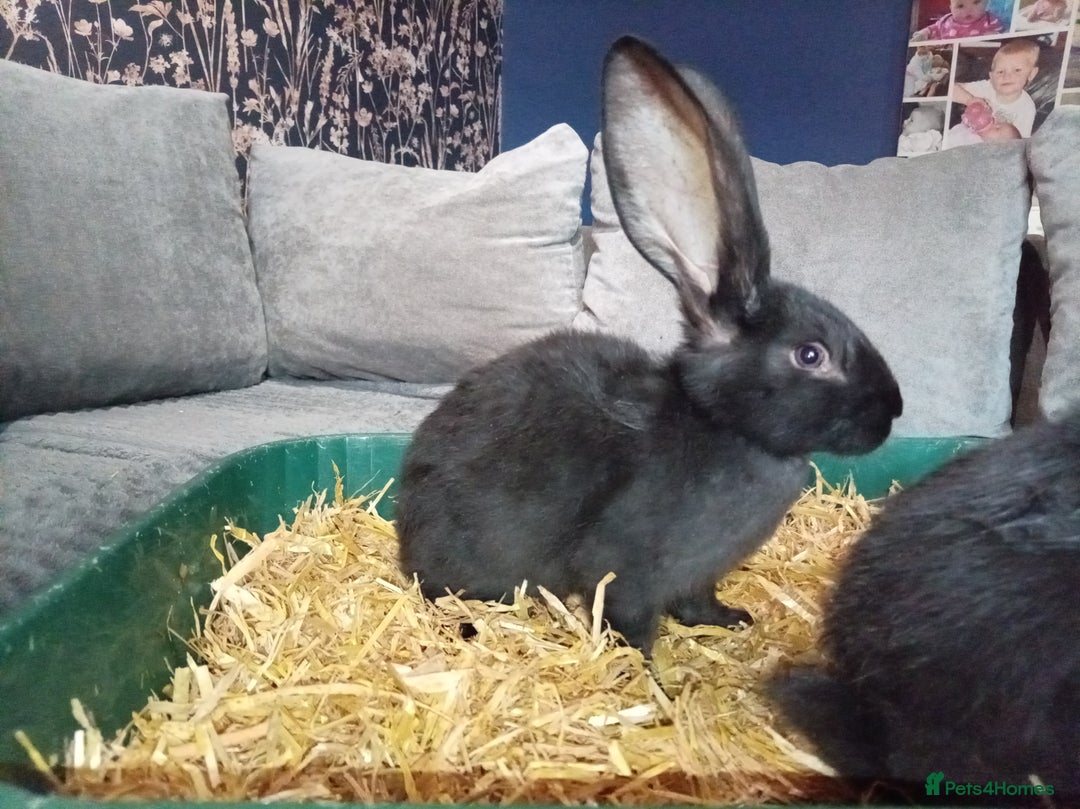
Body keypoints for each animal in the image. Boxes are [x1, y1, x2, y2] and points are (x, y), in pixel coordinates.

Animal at [395, 35, 903, 654]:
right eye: (811, 355)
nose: (892, 411)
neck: (726, 427)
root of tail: (406, 533)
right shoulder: (626, 569)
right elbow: (630, 616)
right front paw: (646, 668)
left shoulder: (697, 576)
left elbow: (696, 603)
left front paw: (733, 619)